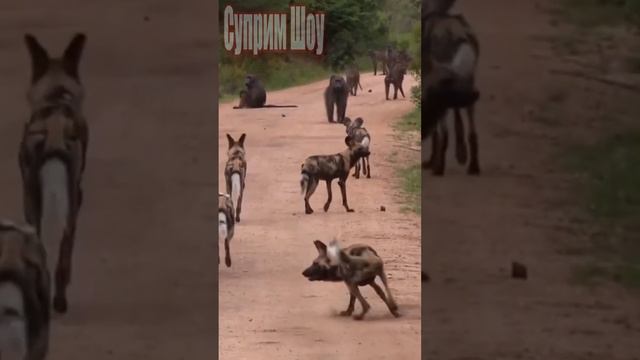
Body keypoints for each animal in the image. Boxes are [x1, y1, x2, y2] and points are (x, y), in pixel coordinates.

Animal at [18, 33, 89, 316]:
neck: (56, 96)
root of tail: (54, 129)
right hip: (67, 207)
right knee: (62, 260)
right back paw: (58, 301)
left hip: (37, 204)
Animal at [422, 0, 482, 176]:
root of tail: (458, 35)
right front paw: (461, 153)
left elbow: (437, 131)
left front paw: (432, 161)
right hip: (469, 85)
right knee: (471, 130)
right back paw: (473, 165)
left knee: (445, 132)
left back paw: (439, 166)